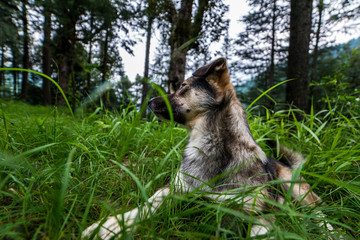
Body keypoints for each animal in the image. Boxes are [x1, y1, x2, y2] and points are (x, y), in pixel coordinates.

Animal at [83, 57, 334, 238]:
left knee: (320, 214)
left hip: (295, 187)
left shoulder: (258, 210)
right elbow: (147, 204)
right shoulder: (175, 189)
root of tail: (282, 162)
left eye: (183, 86)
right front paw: (111, 226)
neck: (210, 146)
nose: (151, 101)